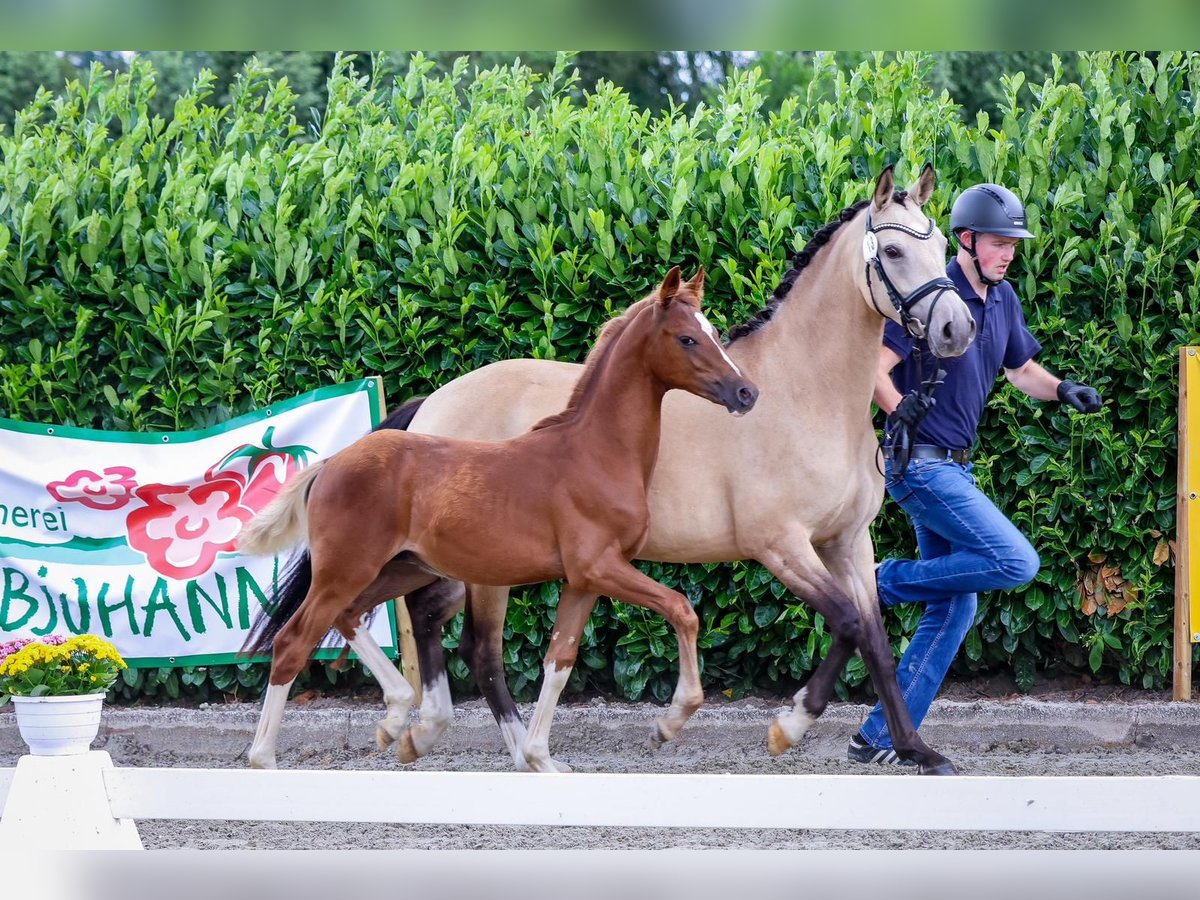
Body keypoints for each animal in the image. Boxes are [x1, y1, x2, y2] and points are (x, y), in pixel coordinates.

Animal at [238, 264, 753, 772]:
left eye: (714, 332)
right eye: (687, 338)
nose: (746, 392)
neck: (595, 453)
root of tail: (330, 464)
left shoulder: (584, 580)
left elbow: (559, 659)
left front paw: (540, 757)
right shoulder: (601, 567)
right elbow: (682, 609)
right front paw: (669, 722)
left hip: (401, 569)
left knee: (349, 617)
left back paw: (399, 720)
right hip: (347, 570)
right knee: (293, 642)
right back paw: (265, 759)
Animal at [357, 162, 974, 777]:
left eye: (943, 245)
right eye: (892, 250)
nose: (956, 328)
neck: (803, 395)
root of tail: (433, 404)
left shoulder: (847, 542)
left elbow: (876, 641)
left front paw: (918, 751)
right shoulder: (780, 545)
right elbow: (846, 624)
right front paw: (785, 728)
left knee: (425, 616)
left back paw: (428, 733)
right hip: (487, 568)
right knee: (476, 648)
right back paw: (465, 740)